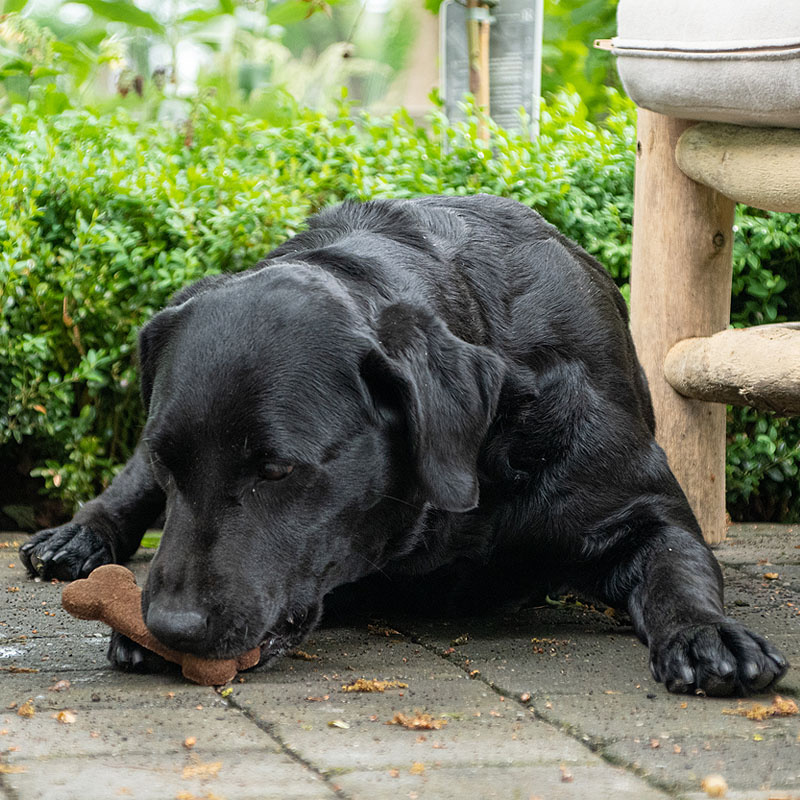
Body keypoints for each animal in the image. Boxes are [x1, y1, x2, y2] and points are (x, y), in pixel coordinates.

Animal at [18, 194, 788, 692]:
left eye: (277, 469)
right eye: (172, 459)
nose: (170, 626)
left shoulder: (642, 508)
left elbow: (678, 568)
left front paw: (705, 634)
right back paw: (76, 538)